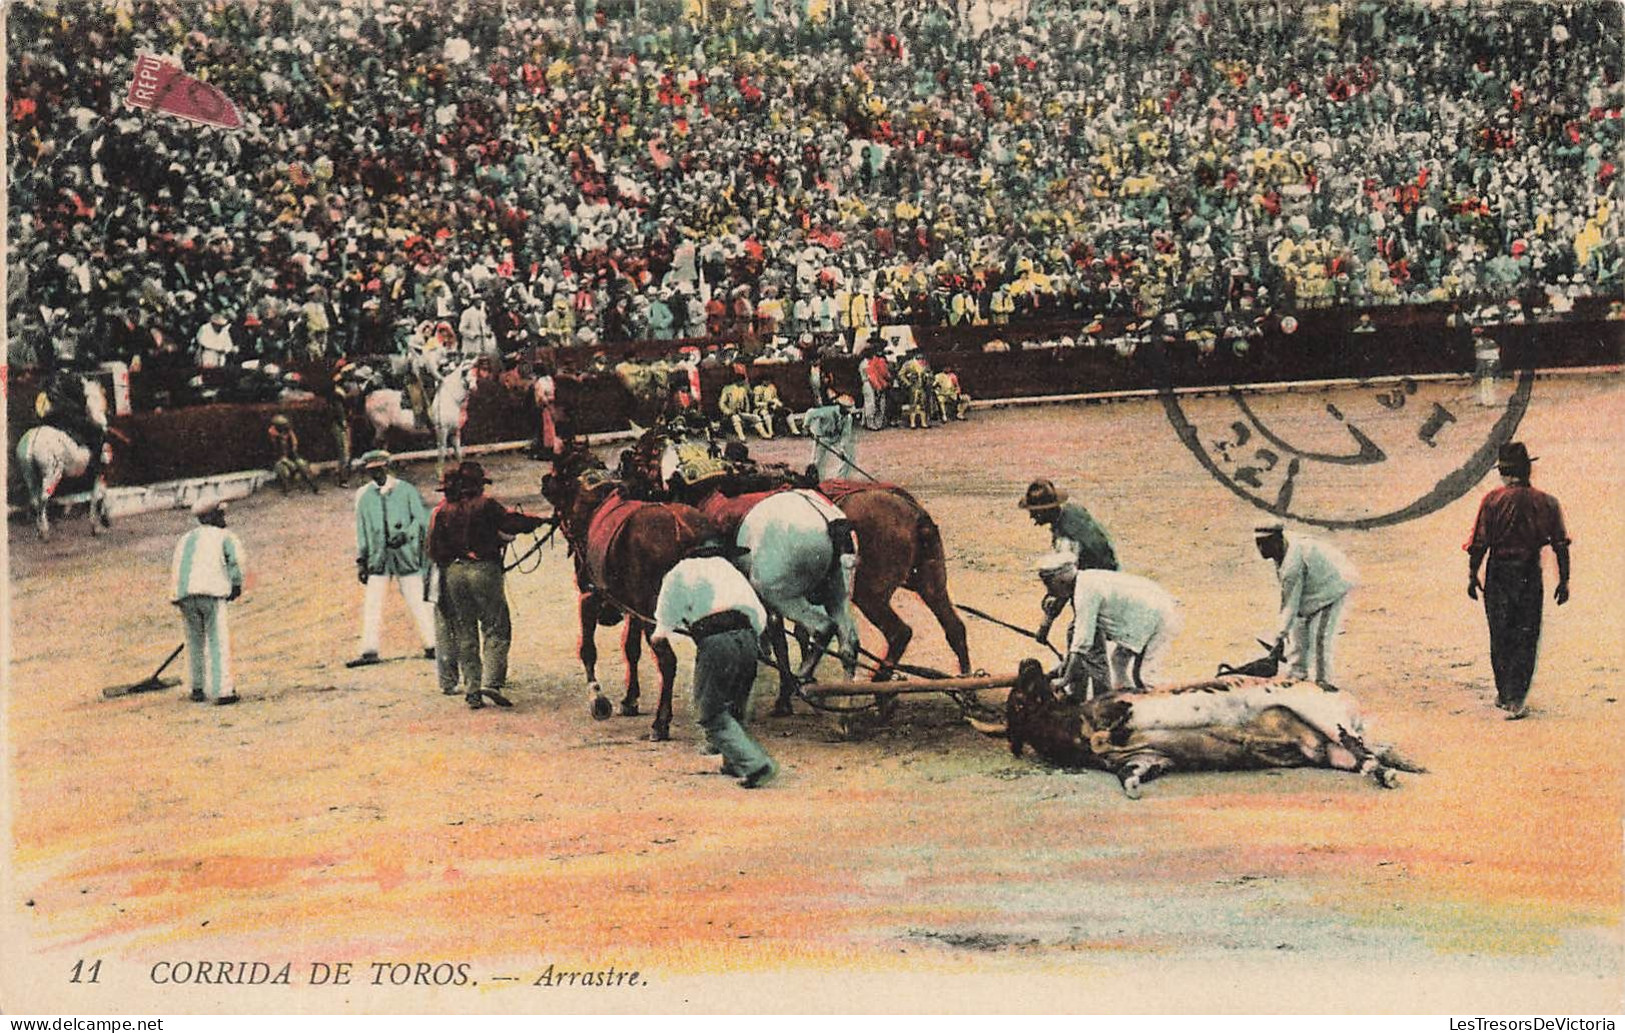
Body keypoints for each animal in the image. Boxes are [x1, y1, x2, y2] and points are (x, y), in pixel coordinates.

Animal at [16, 380, 111, 539]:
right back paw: (45, 531)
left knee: (35, 500)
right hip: (52, 475)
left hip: (30, 475)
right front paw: (99, 523)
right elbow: (98, 494)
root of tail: (33, 441)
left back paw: (40, 530)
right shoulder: (97, 470)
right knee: (43, 499)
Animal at [542, 448, 715, 737]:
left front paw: (598, 700)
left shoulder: (589, 597)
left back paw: (660, 722)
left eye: (558, 475)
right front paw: (630, 698)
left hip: (655, 616)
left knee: (667, 661)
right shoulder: (632, 610)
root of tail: (683, 530)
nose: (544, 483)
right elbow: (631, 648)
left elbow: (587, 649)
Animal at [975, 662, 1423, 799]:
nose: (1029, 662)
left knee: (1368, 750)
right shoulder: (1147, 760)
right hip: (1332, 752)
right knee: (1367, 758)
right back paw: (1394, 770)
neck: (1073, 728)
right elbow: (1131, 775)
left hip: (1327, 717)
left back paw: (1395, 772)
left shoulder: (1124, 708)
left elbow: (1118, 725)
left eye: (1019, 698)